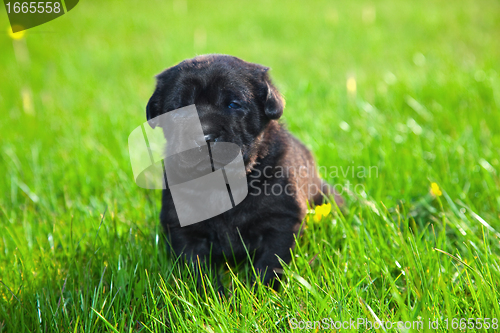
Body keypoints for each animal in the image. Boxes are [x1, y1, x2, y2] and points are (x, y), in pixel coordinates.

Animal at [146, 53, 342, 288]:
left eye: (233, 105)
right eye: (180, 110)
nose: (205, 137)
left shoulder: (281, 220)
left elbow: (270, 262)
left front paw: (260, 292)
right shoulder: (182, 226)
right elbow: (197, 268)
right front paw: (212, 294)